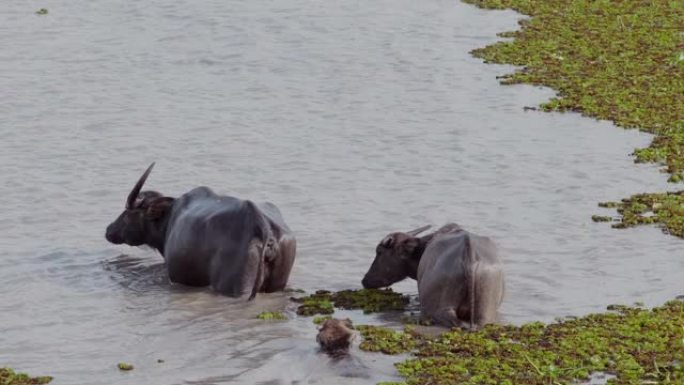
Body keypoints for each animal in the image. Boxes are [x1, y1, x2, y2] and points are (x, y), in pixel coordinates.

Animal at [103, 164, 296, 298]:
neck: (169, 219)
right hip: (277, 286)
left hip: (238, 288)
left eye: (127, 214)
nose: (108, 230)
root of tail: (263, 226)